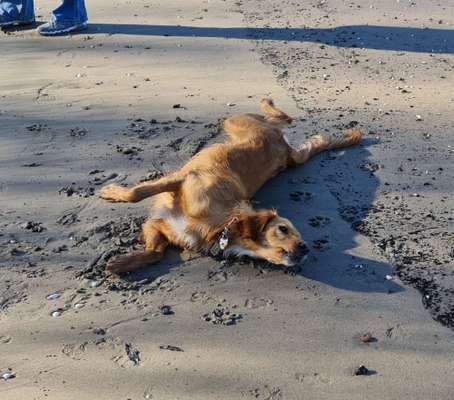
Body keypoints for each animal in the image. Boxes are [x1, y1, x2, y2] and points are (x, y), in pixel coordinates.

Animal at [98, 99, 362, 276]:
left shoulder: (159, 224)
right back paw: (267, 102)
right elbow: (137, 193)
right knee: (284, 118)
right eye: (283, 229)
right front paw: (114, 193)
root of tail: (283, 148)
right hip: (237, 121)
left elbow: (156, 252)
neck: (220, 226)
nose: (305, 248)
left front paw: (121, 264)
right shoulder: (183, 180)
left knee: (293, 124)